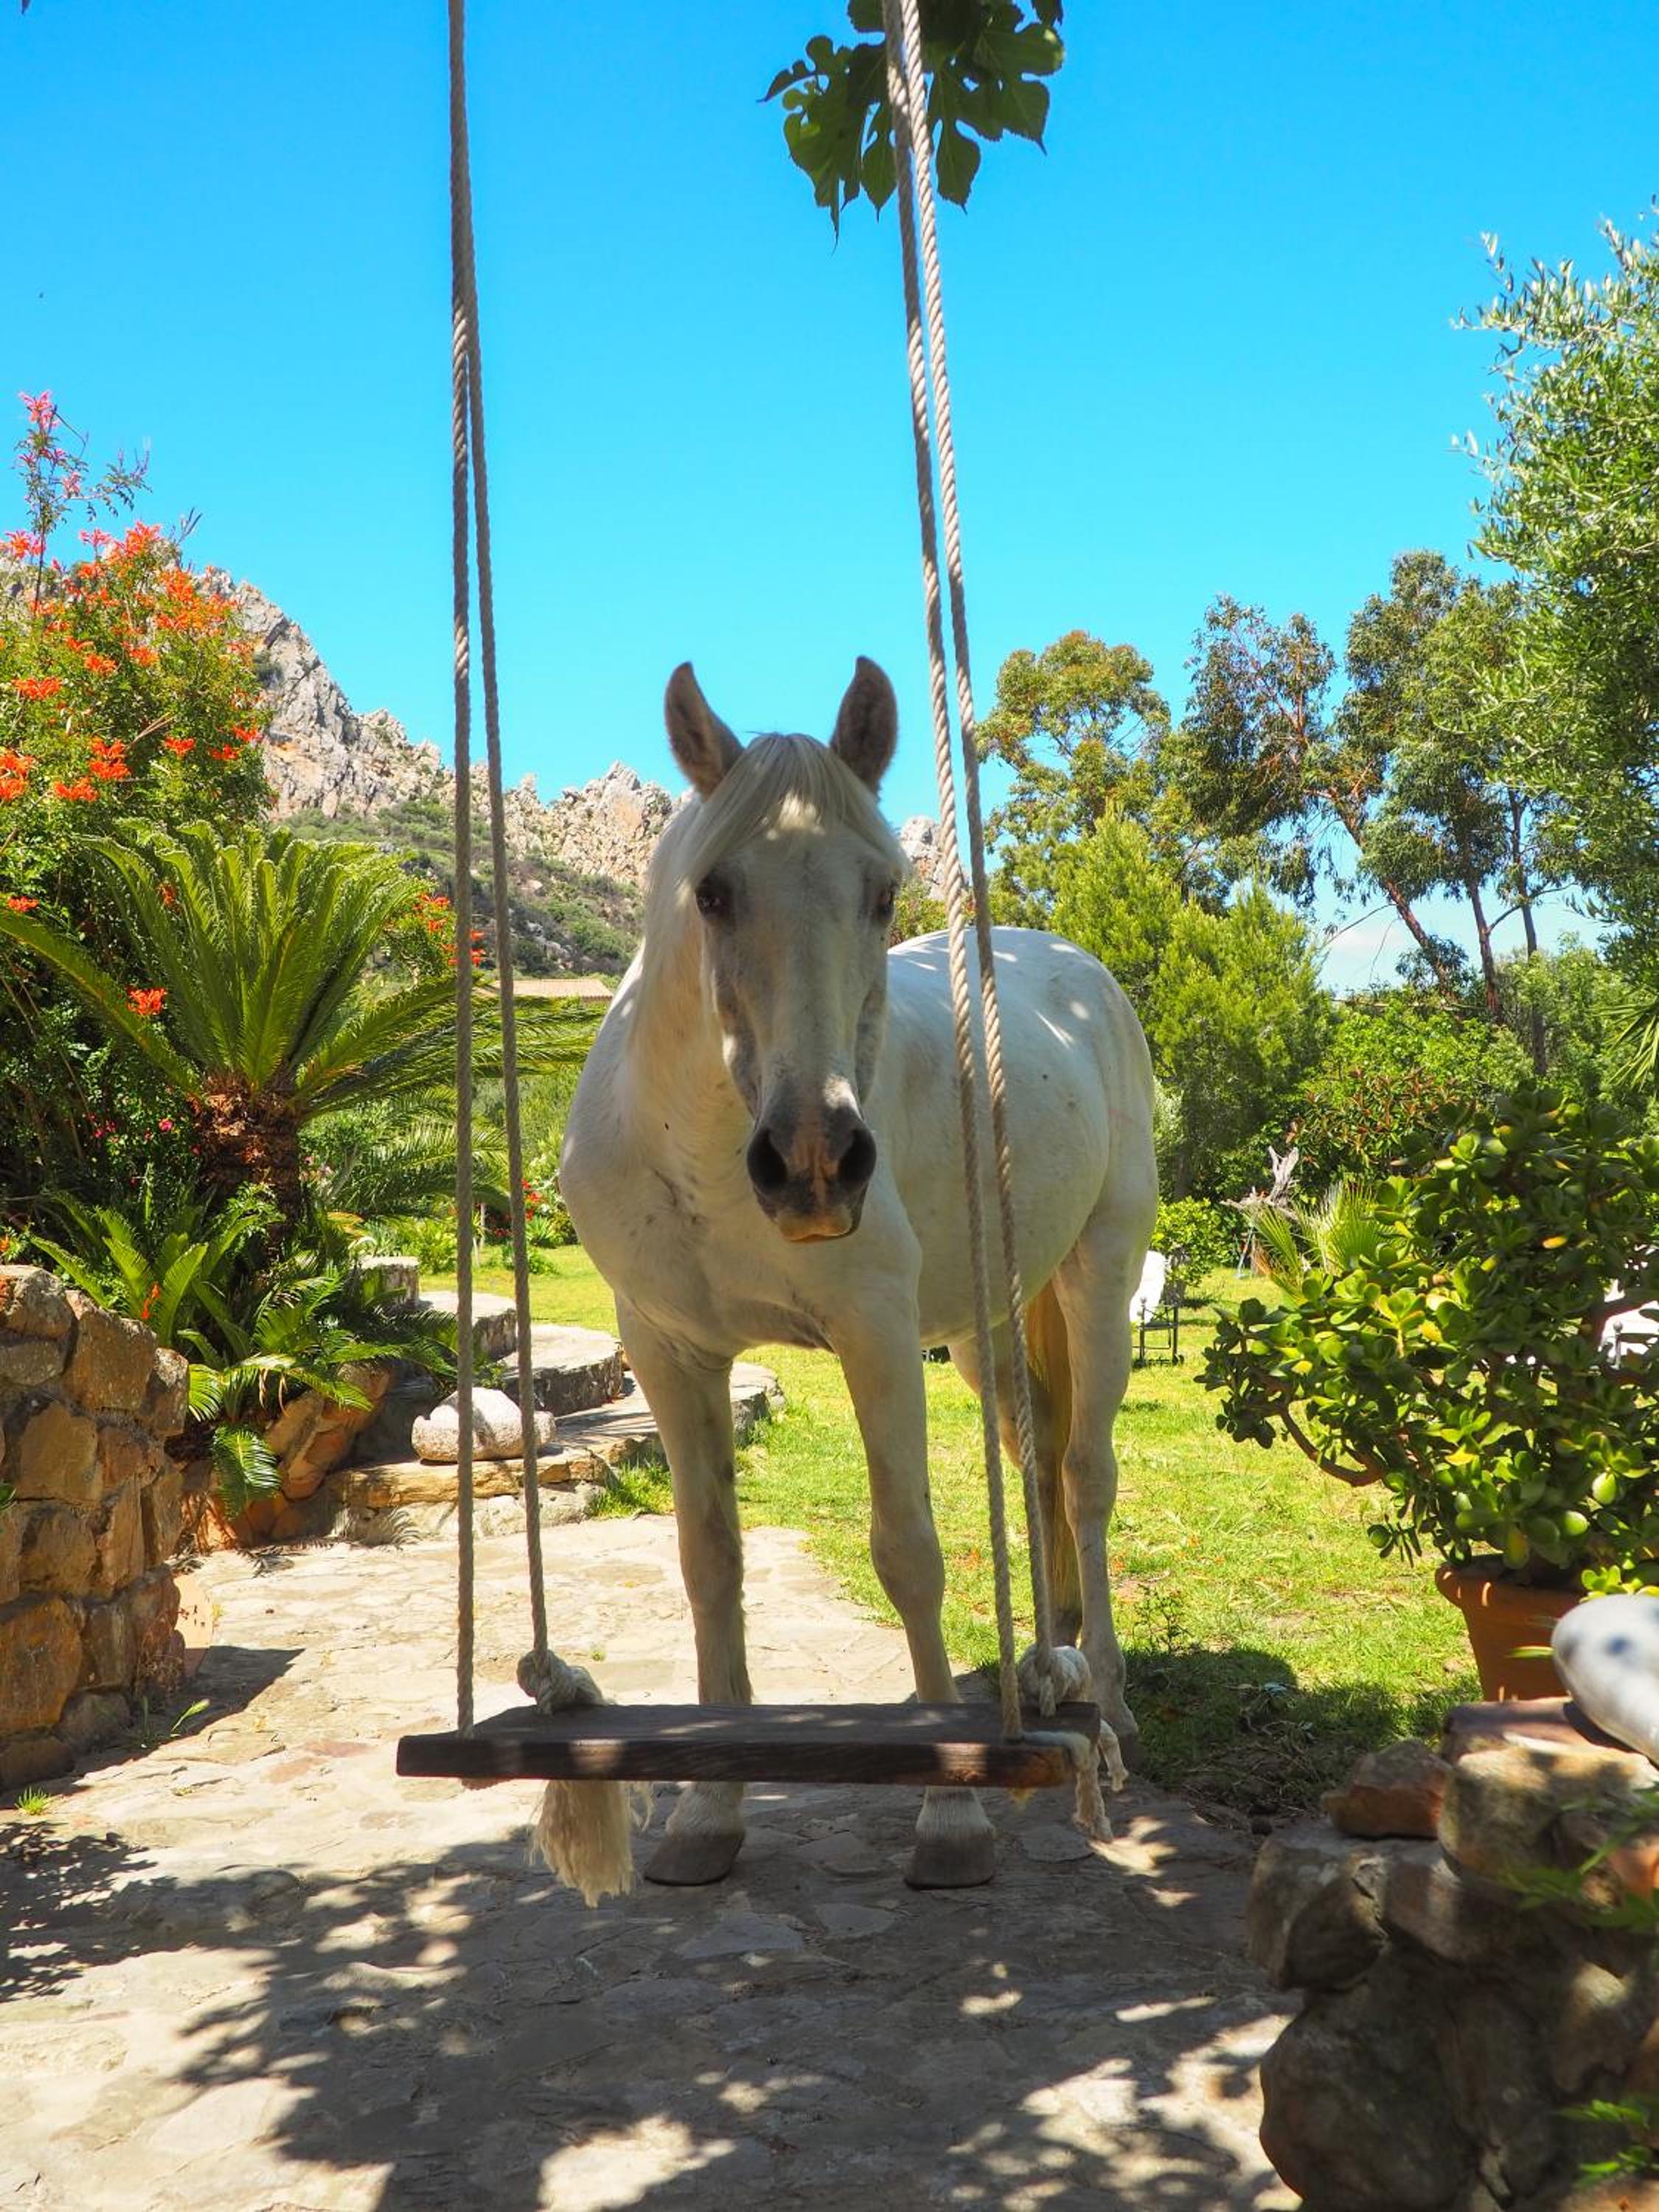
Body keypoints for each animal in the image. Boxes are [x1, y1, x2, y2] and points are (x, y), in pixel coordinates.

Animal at [559, 658, 1158, 1889]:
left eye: (883, 894)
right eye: (714, 892)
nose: (813, 1163)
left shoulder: (877, 1339)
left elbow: (909, 1553)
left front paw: (950, 1820)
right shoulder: (665, 1350)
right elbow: (709, 1563)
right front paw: (708, 1814)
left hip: (1097, 1276)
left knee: (1083, 1478)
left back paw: (1109, 1706)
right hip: (982, 1331)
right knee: (1033, 1464)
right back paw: (1050, 1674)